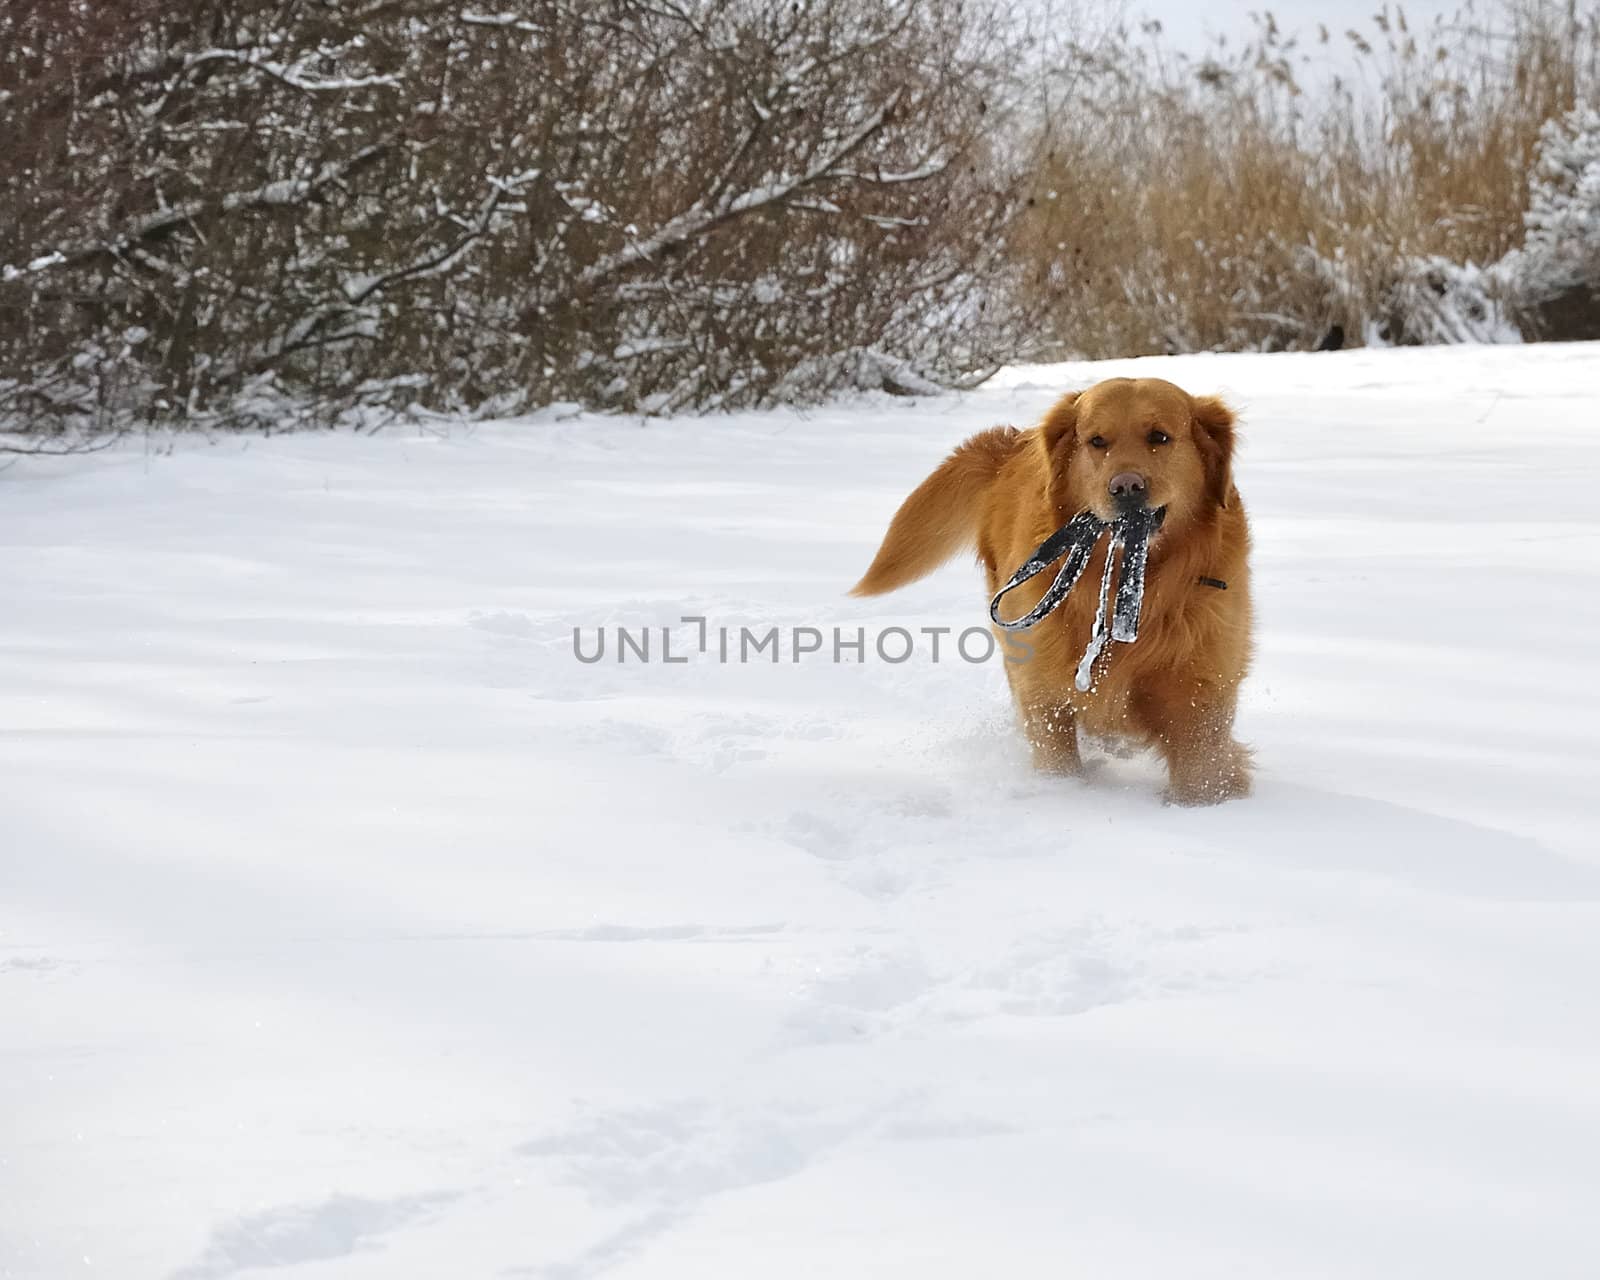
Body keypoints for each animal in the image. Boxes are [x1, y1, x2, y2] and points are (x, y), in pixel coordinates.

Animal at [851, 374, 1248, 806]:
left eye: (1159, 436)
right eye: (1097, 441)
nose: (1126, 487)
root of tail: (1009, 442)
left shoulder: (1200, 696)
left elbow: (1201, 773)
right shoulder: (1043, 689)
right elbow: (1055, 752)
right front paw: (1061, 794)